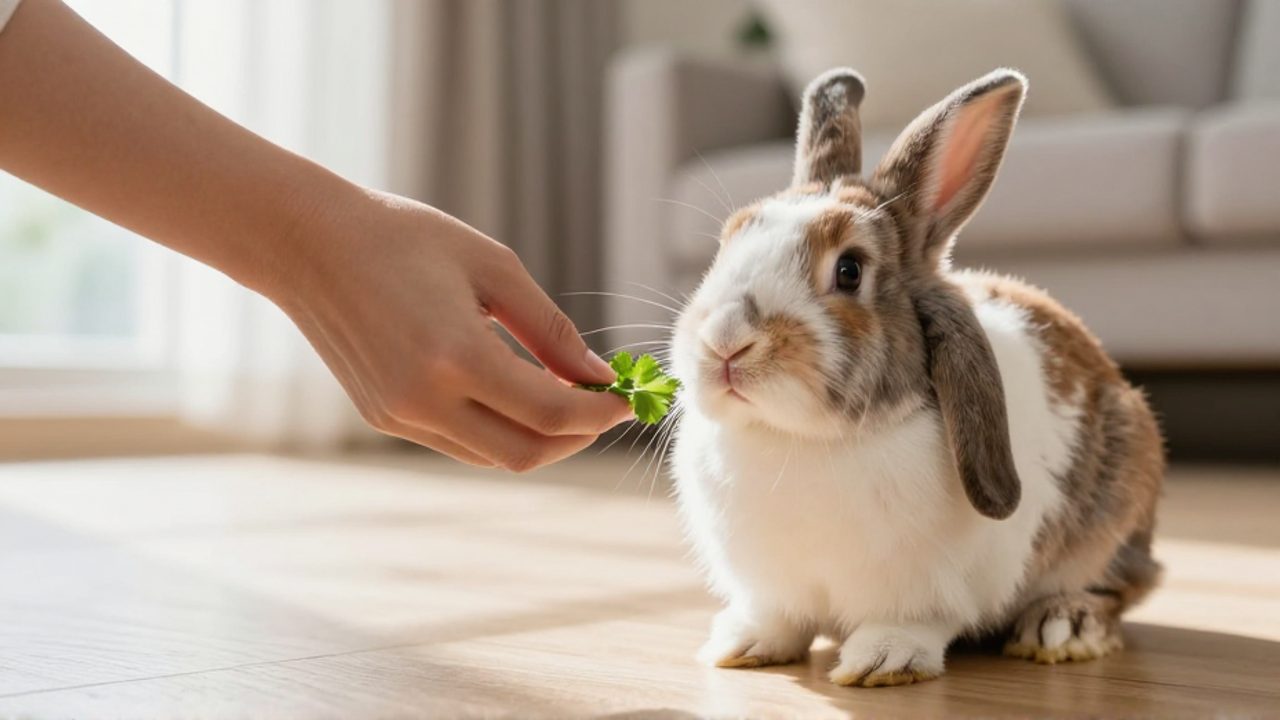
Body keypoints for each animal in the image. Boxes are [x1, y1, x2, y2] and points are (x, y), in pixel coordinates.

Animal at [668, 67, 1164, 688]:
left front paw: (882, 662)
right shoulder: (774, 589)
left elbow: (910, 624)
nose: (725, 341)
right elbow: (778, 618)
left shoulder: (924, 590)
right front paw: (742, 645)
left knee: (1120, 586)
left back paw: (1062, 626)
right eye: (727, 243)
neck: (799, 440)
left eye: (849, 270)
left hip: (1117, 503)